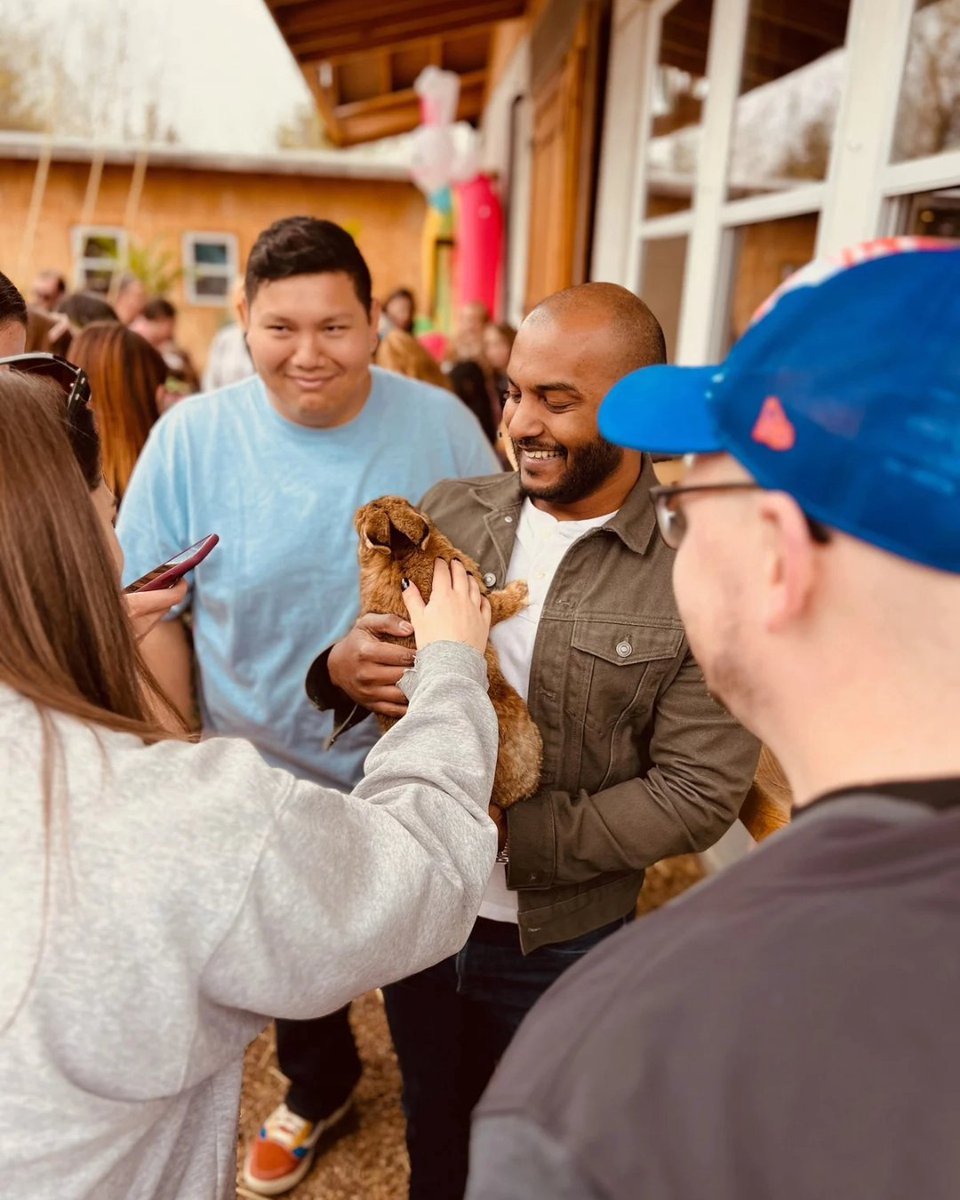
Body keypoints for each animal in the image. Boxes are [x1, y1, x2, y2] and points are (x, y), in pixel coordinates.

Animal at [355, 492, 544, 811]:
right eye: (408, 504)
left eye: (358, 521)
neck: (401, 555)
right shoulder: (480, 600)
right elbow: (498, 605)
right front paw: (522, 590)